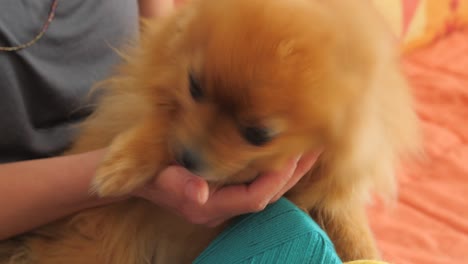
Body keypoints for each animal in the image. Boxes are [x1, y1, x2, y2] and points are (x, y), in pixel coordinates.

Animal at [0, 0, 418, 262]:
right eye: (194, 86)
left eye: (258, 134)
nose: (187, 157)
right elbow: (161, 122)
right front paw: (121, 166)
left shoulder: (330, 179)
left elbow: (349, 226)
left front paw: (366, 253)